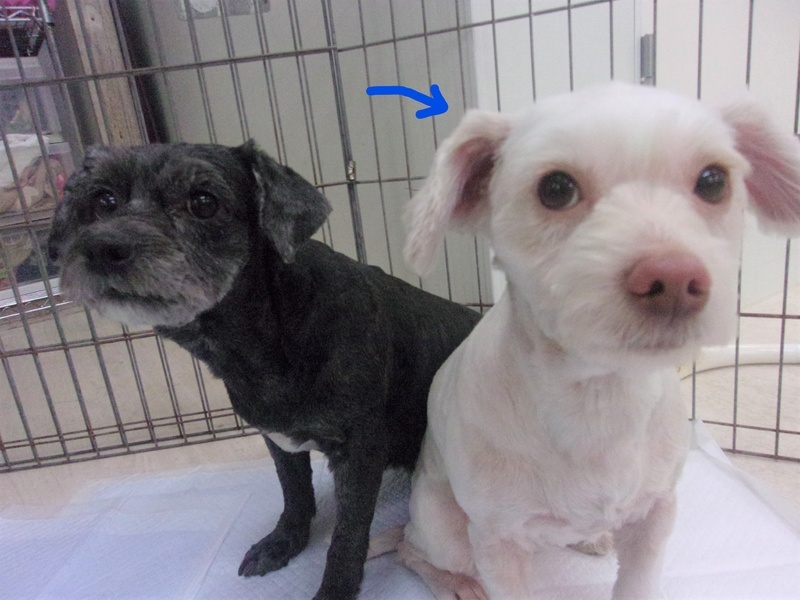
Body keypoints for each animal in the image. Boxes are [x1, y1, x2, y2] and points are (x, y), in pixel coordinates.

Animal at [46, 140, 480, 600]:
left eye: (204, 202)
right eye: (103, 200)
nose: (103, 248)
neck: (275, 332)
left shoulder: (359, 449)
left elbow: (348, 535)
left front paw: (334, 590)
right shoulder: (277, 438)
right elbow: (294, 495)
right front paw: (283, 543)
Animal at [394, 83, 800, 599]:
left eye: (713, 181)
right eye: (555, 188)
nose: (673, 277)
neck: (598, 397)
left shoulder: (656, 513)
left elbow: (638, 582)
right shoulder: (496, 540)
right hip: (443, 529)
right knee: (410, 549)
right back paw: (453, 582)